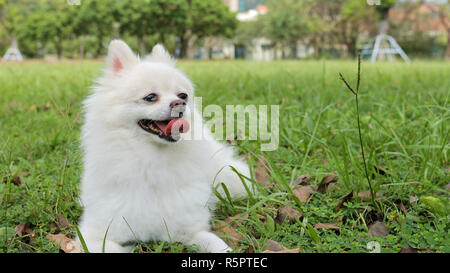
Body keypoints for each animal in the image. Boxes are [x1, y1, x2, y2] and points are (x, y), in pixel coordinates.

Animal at [78, 39, 253, 252]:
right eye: (150, 97)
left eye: (183, 95)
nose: (179, 103)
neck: (152, 161)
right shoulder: (93, 237)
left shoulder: (191, 230)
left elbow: (217, 244)